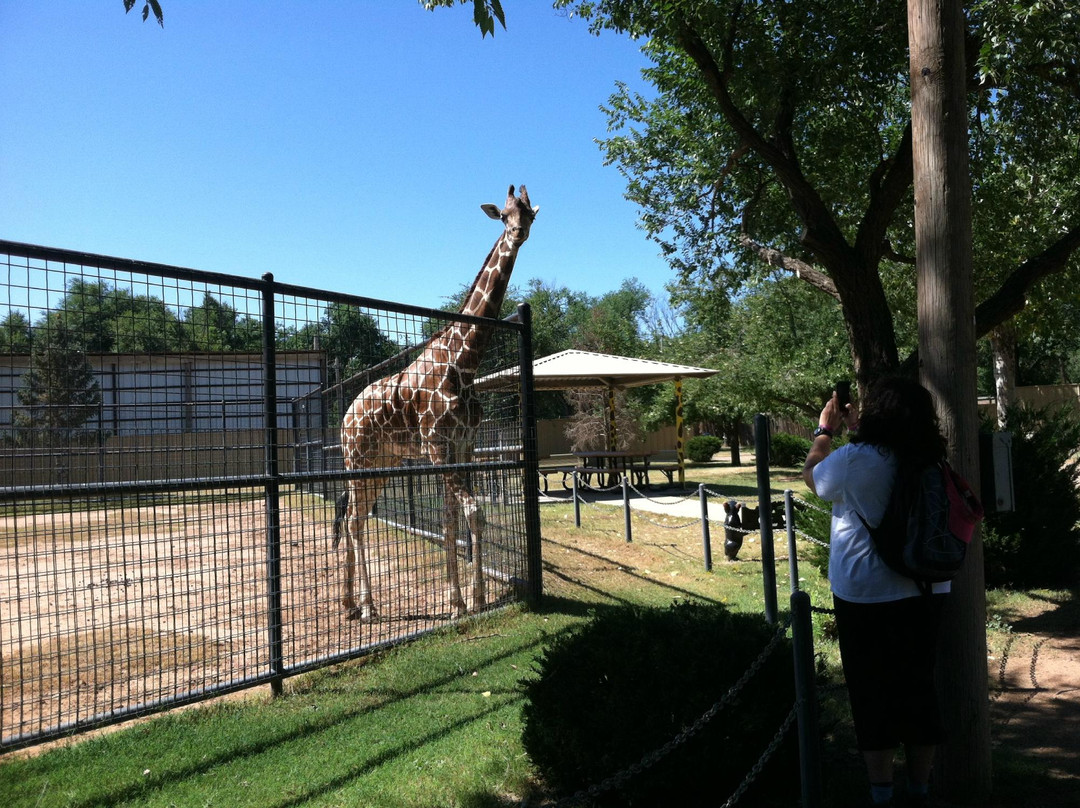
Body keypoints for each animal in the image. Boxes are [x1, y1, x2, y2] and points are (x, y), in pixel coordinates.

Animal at [339, 185, 537, 622]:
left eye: (530, 214)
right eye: (504, 216)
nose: (518, 234)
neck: (464, 364)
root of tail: (345, 415)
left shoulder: (464, 444)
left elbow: (455, 520)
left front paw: (462, 601)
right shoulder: (436, 445)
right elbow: (472, 514)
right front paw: (468, 600)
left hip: (383, 462)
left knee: (354, 517)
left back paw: (350, 603)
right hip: (357, 460)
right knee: (354, 520)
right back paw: (368, 606)